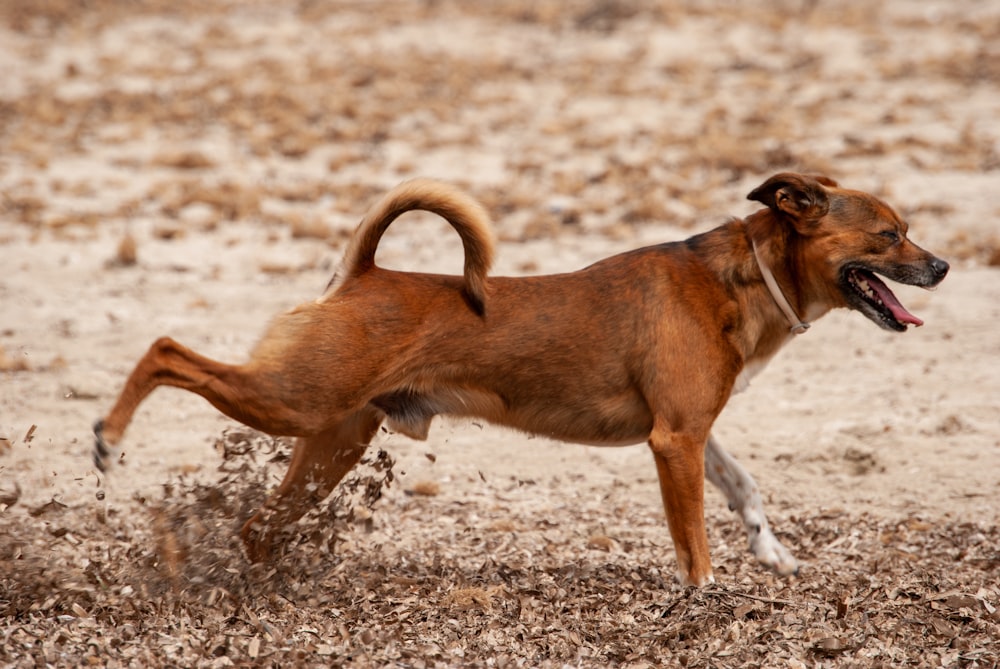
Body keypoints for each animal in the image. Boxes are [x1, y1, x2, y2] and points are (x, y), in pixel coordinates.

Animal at [94, 172, 944, 584]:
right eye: (888, 234)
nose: (940, 265)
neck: (740, 275)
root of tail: (366, 274)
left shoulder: (692, 431)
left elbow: (744, 486)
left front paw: (772, 553)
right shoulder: (674, 441)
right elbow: (695, 538)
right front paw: (705, 592)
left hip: (330, 440)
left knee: (258, 525)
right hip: (295, 400)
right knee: (165, 349)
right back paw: (108, 436)